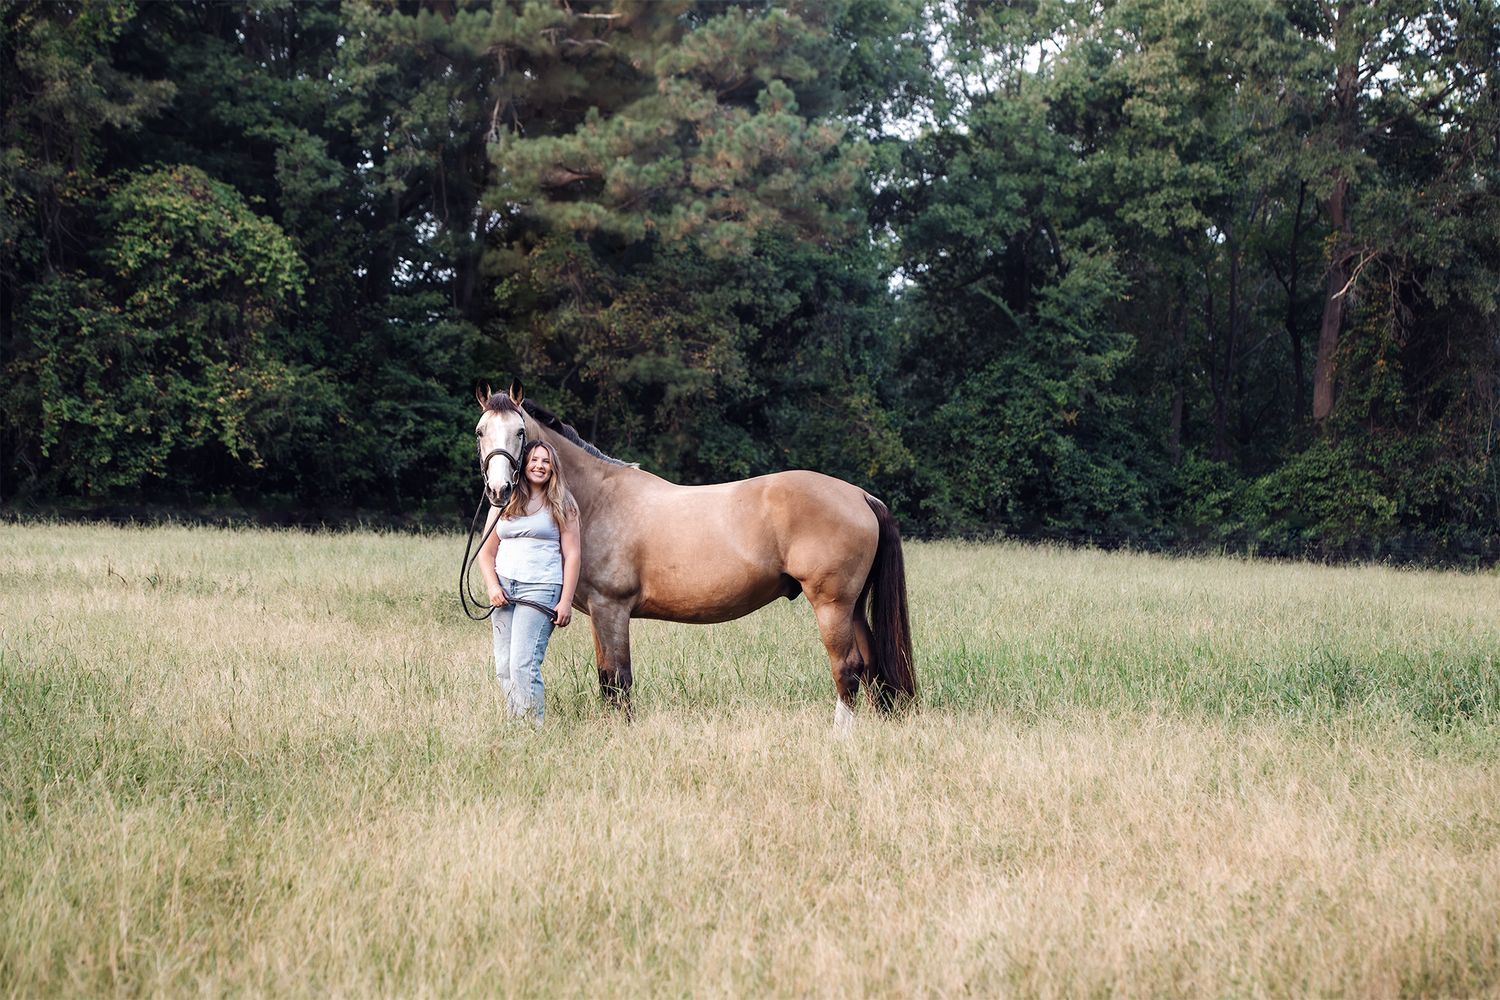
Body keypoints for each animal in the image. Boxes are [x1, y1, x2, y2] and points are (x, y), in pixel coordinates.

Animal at [471, 382, 914, 729]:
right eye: (480, 432)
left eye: (519, 431)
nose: (498, 490)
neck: (598, 499)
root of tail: (860, 495)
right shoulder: (600, 613)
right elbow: (608, 678)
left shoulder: (611, 609)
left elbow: (618, 678)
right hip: (852, 607)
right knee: (872, 665)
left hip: (832, 605)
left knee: (848, 668)